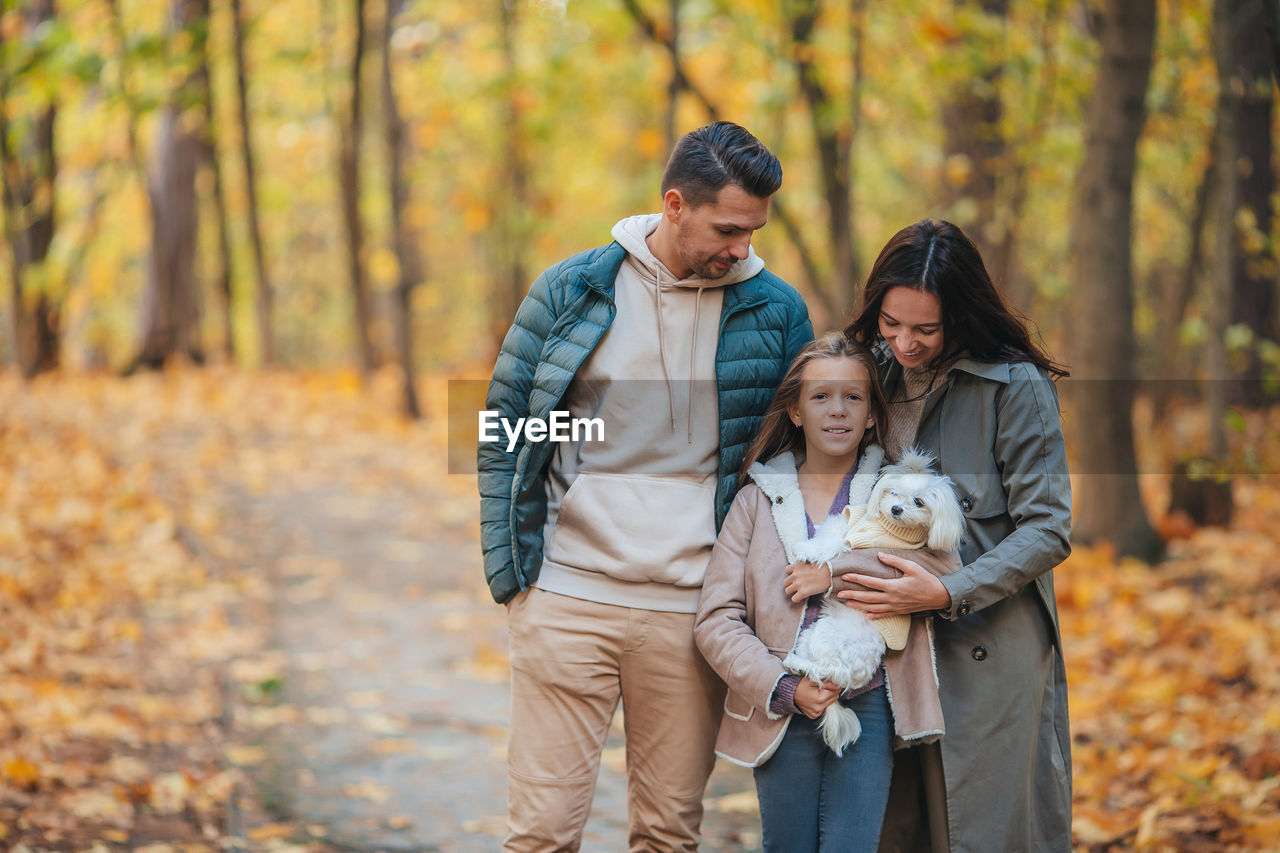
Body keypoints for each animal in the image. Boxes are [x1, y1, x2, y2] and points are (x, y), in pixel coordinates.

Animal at [783, 448, 962, 753]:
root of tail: (851, 675)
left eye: (919, 502)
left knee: (824, 671)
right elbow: (835, 530)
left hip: (826, 639)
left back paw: (795, 663)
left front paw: (807, 551)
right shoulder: (851, 519)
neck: (889, 527)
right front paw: (810, 545)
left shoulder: (861, 546)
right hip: (811, 636)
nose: (896, 509)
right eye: (893, 492)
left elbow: (835, 546)